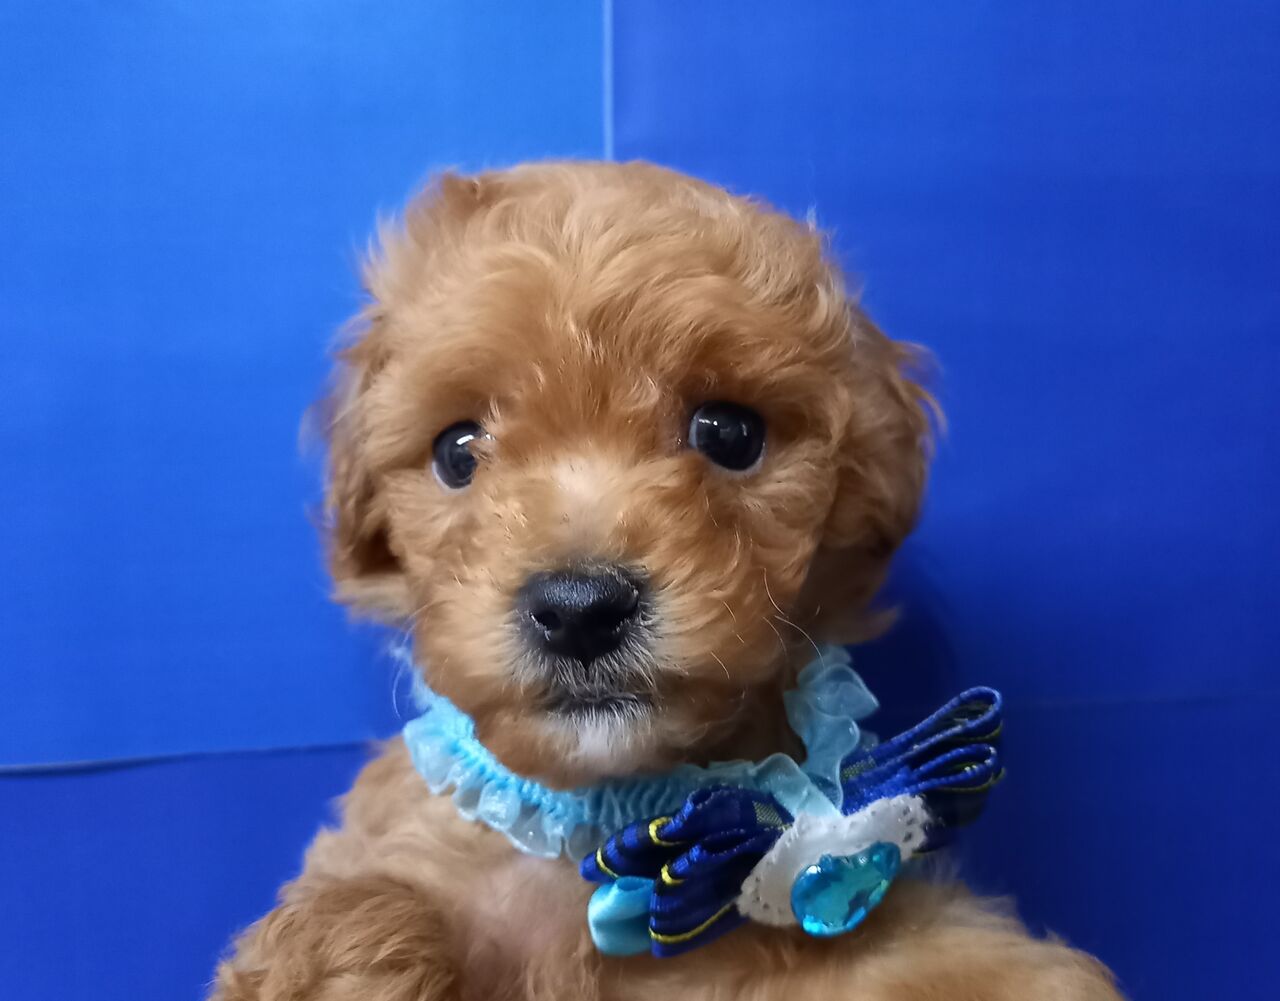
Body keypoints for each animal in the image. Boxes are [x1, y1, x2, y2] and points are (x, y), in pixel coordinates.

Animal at [211, 162, 1122, 1000]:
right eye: (456, 451)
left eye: (730, 432)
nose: (578, 608)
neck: (601, 831)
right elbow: (363, 909)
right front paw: (360, 950)